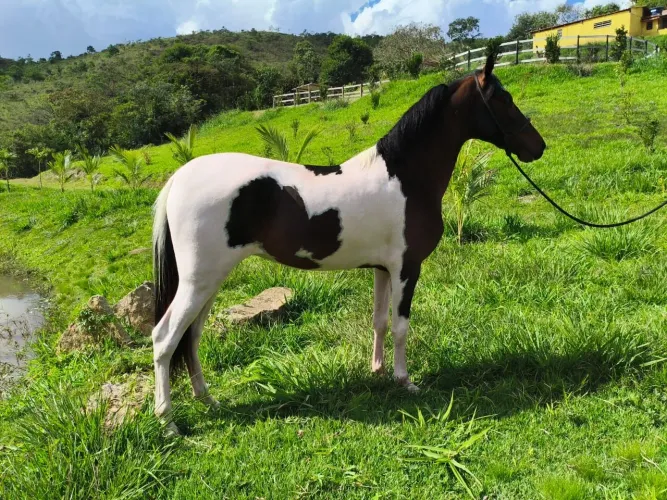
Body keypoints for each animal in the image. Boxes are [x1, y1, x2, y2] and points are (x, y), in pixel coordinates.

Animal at [151, 52, 546, 434]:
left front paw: (379, 371)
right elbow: (401, 326)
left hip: (210, 281)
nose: (538, 147)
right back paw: (168, 423)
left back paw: (208, 401)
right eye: (502, 99)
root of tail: (180, 177)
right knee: (165, 337)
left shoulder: (383, 269)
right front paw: (405, 381)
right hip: (199, 281)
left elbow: (380, 321)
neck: (406, 177)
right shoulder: (407, 268)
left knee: (191, 337)